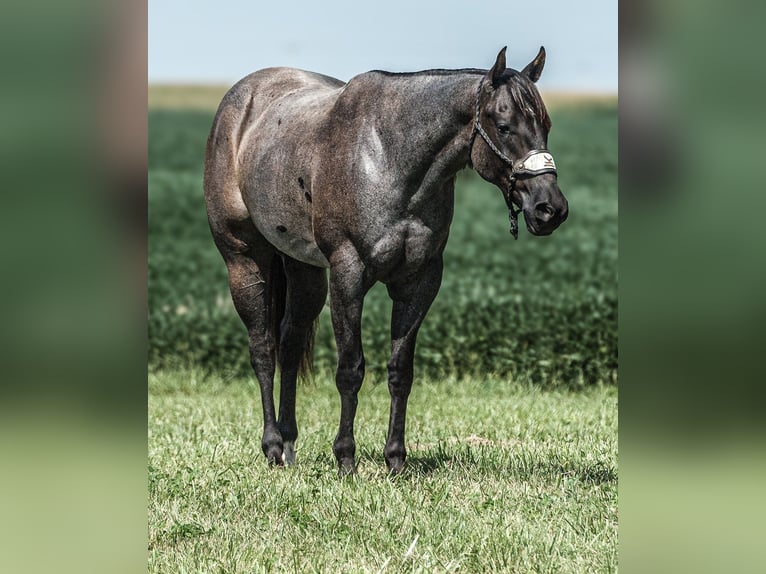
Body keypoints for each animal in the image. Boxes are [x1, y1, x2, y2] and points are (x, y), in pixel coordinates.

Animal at [204, 46, 568, 476]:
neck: (388, 157)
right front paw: (346, 458)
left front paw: (395, 459)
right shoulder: (348, 275)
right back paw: (273, 445)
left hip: (304, 270)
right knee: (262, 348)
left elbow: (400, 371)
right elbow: (350, 369)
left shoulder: (419, 281)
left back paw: (290, 445)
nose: (550, 209)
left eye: (545, 124)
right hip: (245, 260)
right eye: (504, 125)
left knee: (290, 344)